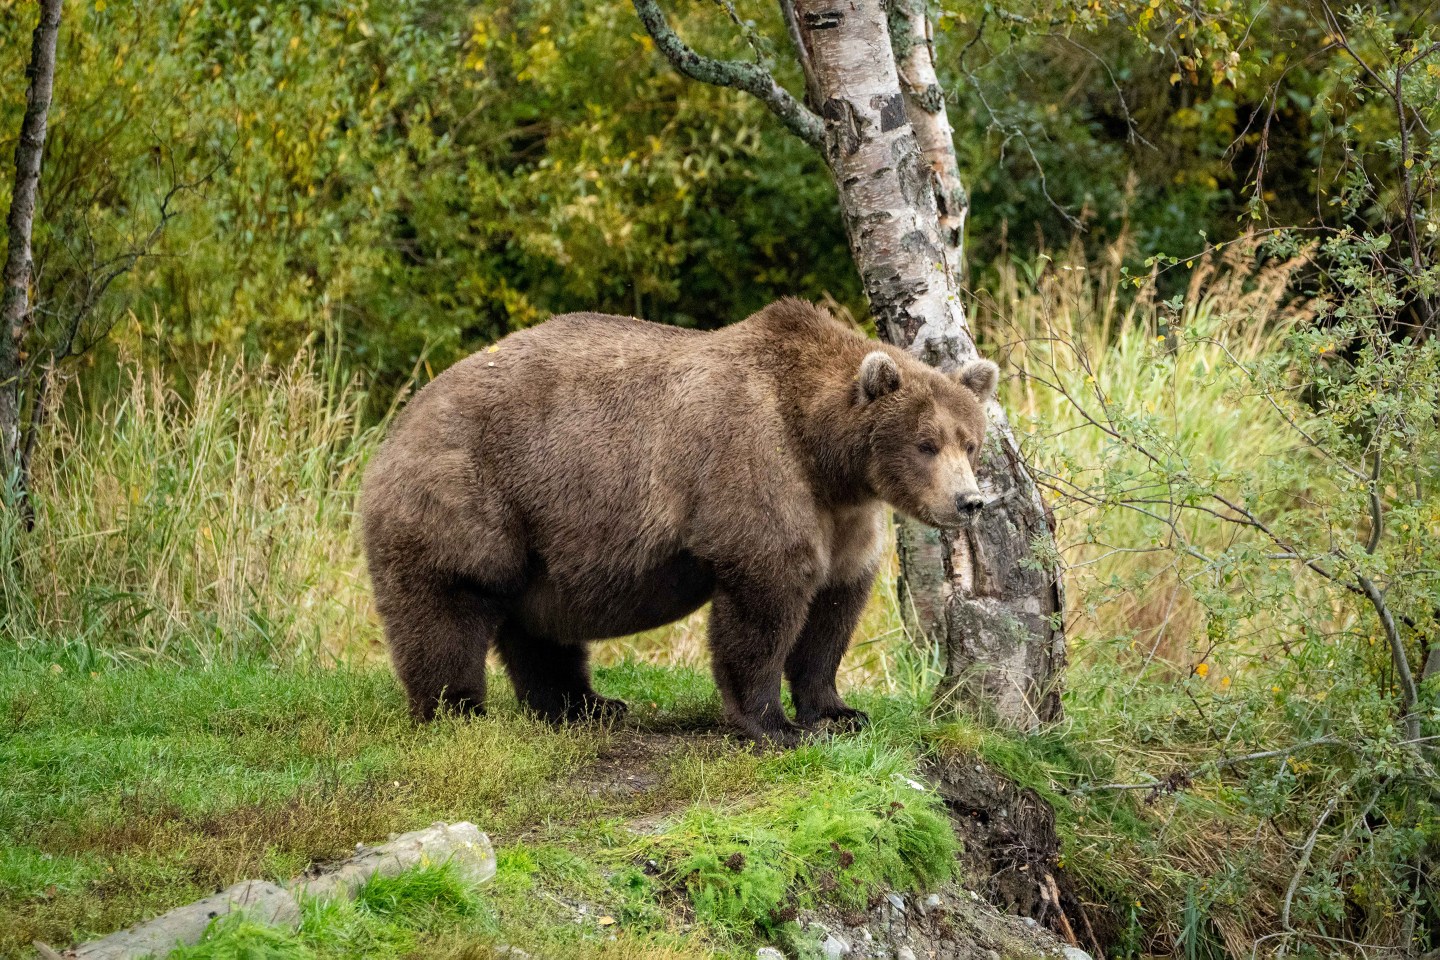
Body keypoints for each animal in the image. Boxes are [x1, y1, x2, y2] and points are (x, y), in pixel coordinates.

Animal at [360, 298, 999, 745]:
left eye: (970, 442)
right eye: (926, 443)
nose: (969, 501)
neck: (825, 455)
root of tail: (398, 424)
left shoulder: (846, 517)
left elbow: (834, 607)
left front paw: (839, 712)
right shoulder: (753, 465)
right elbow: (765, 600)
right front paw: (775, 724)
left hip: (542, 535)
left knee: (538, 625)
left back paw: (586, 705)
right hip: (469, 495)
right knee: (446, 607)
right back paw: (457, 711)